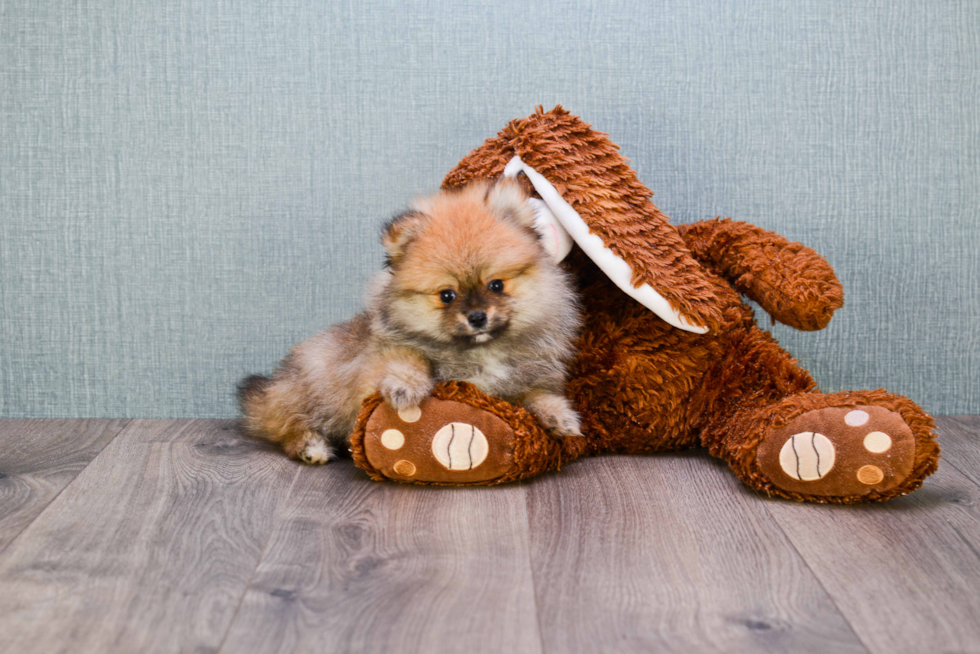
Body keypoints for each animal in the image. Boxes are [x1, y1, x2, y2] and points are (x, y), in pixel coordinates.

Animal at [238, 179, 580, 466]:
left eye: (496, 285)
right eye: (447, 295)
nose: (477, 317)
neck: (482, 352)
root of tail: (274, 385)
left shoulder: (526, 380)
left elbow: (538, 395)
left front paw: (560, 417)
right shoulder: (380, 357)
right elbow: (408, 358)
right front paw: (406, 386)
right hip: (311, 387)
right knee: (284, 426)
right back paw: (311, 446)